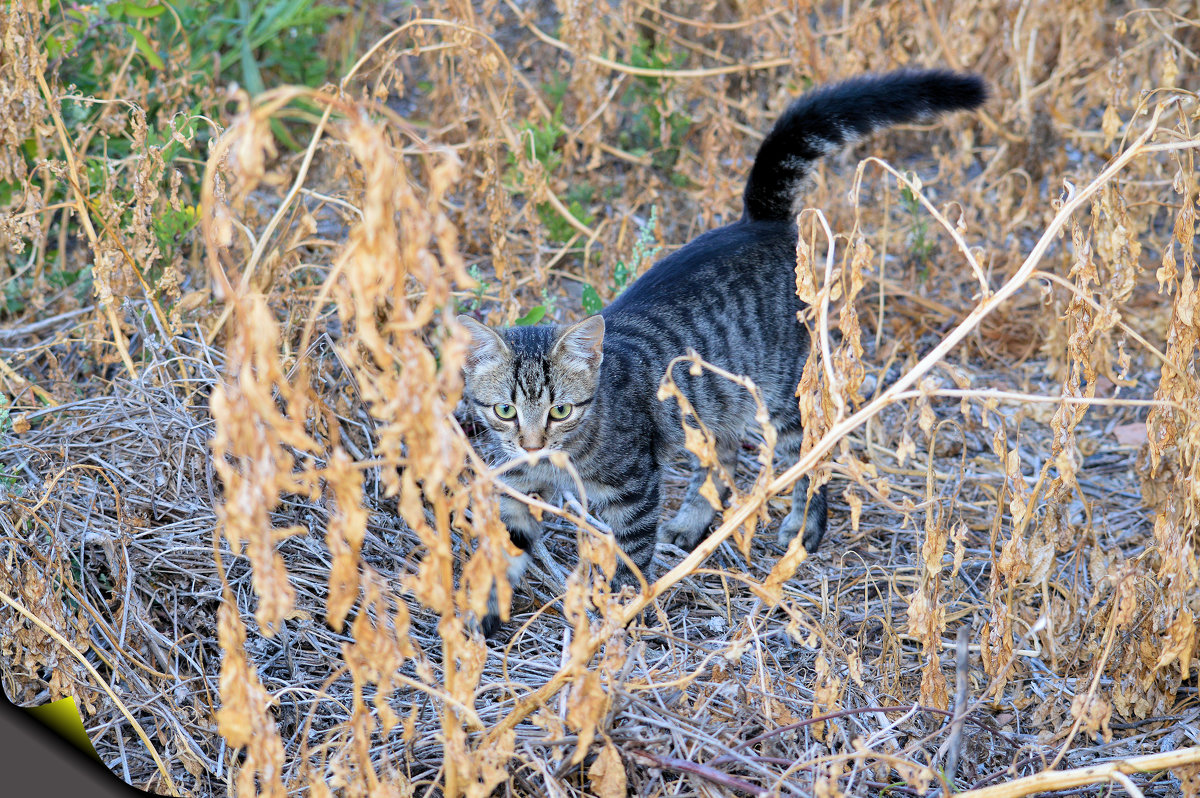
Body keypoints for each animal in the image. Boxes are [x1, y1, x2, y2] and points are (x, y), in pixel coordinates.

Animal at [458, 68, 984, 633]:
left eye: (560, 410)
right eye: (505, 410)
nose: (533, 443)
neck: (559, 460)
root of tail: (761, 222)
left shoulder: (632, 489)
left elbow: (630, 556)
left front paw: (616, 620)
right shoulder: (517, 485)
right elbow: (504, 545)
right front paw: (483, 614)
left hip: (785, 390)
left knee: (813, 449)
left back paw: (804, 526)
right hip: (706, 404)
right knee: (721, 456)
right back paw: (691, 522)